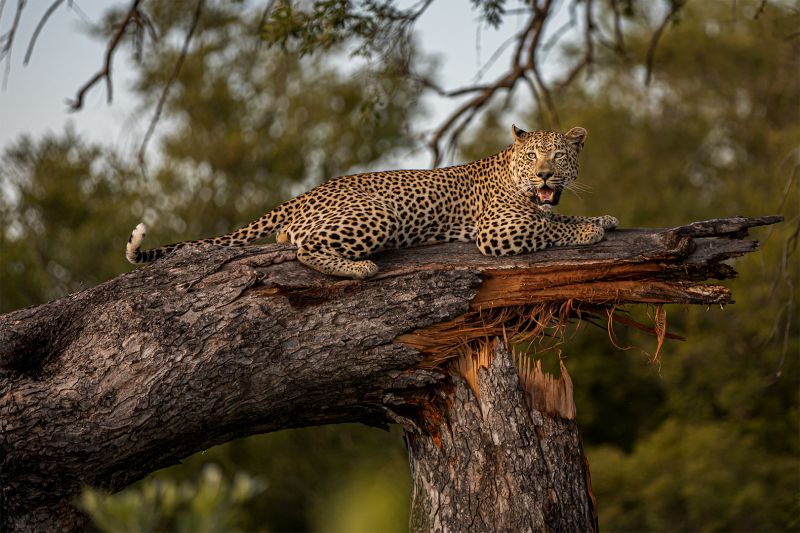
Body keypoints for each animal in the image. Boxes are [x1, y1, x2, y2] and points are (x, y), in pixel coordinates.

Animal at [126, 125, 618, 279]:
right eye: (533, 156)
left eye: (558, 155)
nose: (544, 174)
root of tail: (305, 194)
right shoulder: (498, 230)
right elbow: (550, 226)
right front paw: (589, 229)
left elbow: (559, 214)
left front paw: (603, 217)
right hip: (376, 213)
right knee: (304, 249)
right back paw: (359, 268)